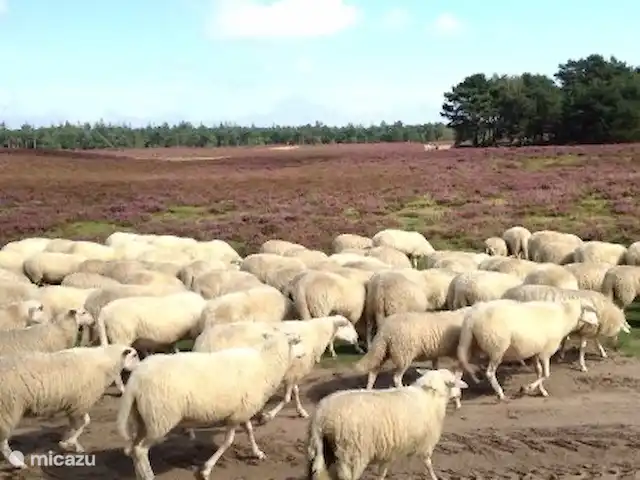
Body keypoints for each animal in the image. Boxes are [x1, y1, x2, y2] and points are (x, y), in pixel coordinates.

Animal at [0, 344, 139, 466]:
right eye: (134, 355)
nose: (140, 366)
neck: (106, 362)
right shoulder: (81, 402)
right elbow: (84, 422)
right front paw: (67, 442)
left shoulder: (74, 404)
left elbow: (77, 424)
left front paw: (71, 443)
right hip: (8, 408)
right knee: (3, 442)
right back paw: (18, 463)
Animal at [117, 331, 305, 480]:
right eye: (295, 341)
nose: (303, 354)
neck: (266, 363)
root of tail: (136, 379)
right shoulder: (237, 415)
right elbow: (228, 441)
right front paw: (206, 470)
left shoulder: (242, 409)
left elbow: (249, 430)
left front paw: (257, 453)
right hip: (160, 418)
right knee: (140, 450)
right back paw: (149, 476)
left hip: (144, 418)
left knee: (134, 448)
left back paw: (140, 475)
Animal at [306, 368, 467, 480]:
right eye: (453, 383)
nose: (460, 394)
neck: (430, 396)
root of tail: (322, 416)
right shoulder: (425, 443)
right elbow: (427, 464)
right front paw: (434, 477)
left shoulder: (393, 447)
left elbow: (385, 471)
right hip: (352, 454)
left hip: (322, 448)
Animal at [457, 298, 598, 400]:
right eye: (590, 311)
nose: (597, 324)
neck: (565, 316)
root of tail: (473, 315)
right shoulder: (545, 352)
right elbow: (546, 374)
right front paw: (527, 388)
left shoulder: (536, 352)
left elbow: (539, 372)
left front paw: (542, 391)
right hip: (497, 348)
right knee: (490, 373)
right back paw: (500, 394)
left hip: (472, 343)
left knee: (462, 365)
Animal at [501, 284, 631, 371]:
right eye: (618, 332)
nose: (616, 348)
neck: (605, 312)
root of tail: (507, 293)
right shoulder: (586, 330)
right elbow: (583, 348)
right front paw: (583, 365)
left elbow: (592, 340)